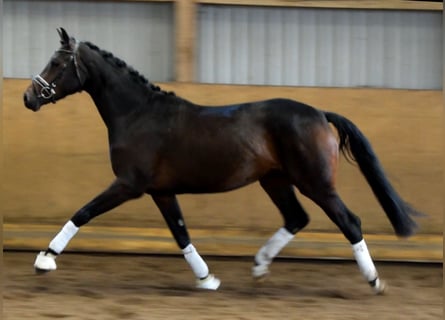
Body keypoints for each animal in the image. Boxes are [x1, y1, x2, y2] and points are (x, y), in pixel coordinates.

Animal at [24, 28, 420, 294]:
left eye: (57, 62)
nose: (29, 97)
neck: (138, 114)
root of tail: (321, 114)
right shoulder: (161, 192)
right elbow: (181, 234)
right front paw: (207, 278)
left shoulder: (128, 185)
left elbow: (84, 212)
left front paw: (45, 259)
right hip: (276, 180)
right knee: (296, 218)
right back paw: (259, 267)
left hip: (316, 183)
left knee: (349, 222)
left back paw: (374, 280)